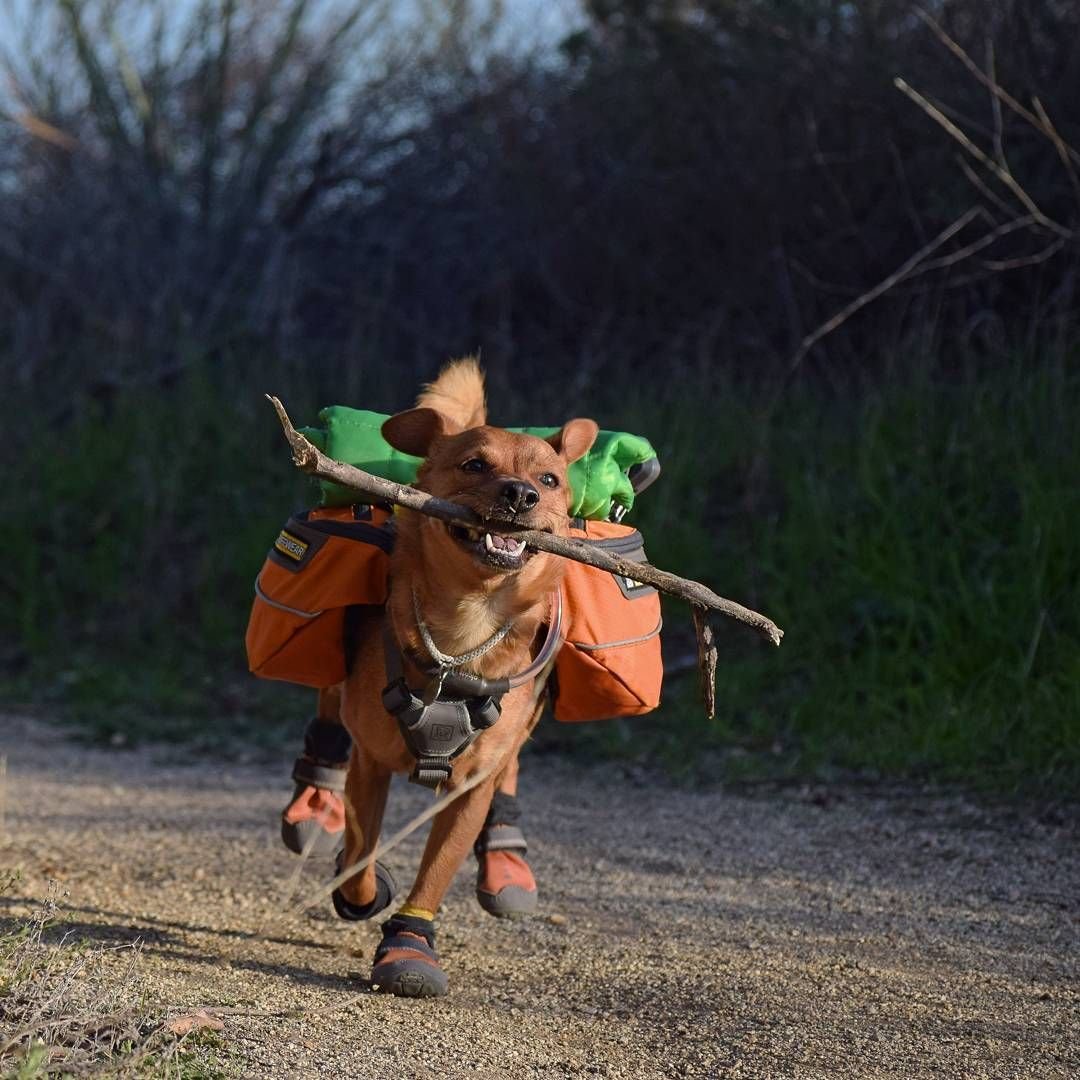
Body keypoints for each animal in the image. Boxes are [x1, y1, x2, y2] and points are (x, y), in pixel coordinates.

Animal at [334, 356, 600, 993]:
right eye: (474, 464)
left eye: (549, 480)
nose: (521, 493)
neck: (466, 626)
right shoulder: (369, 761)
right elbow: (359, 856)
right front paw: (363, 889)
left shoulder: (468, 787)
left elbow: (436, 870)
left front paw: (409, 946)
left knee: (511, 765)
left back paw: (506, 858)